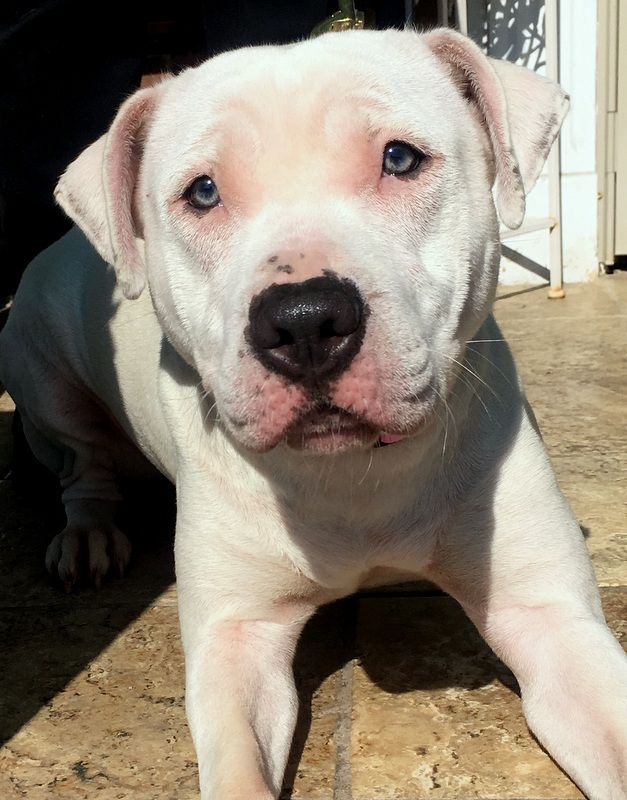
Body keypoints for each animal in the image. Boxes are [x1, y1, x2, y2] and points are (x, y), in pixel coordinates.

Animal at [1, 26, 627, 800]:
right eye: (202, 192)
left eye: (399, 158)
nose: (303, 321)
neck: (354, 476)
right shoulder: (235, 640)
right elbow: (238, 766)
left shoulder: (549, 616)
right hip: (39, 369)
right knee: (82, 468)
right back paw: (87, 534)